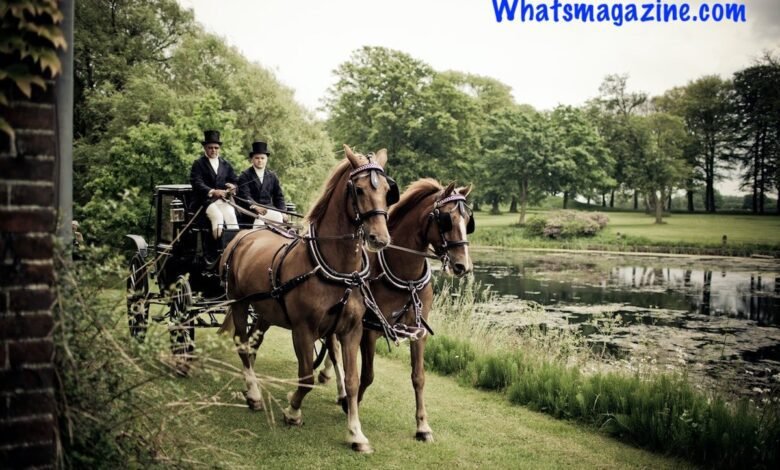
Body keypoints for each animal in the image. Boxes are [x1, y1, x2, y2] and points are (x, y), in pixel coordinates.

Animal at [219, 145, 398, 453]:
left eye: (387, 190)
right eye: (359, 189)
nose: (380, 238)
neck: (337, 269)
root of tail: (244, 236)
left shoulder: (351, 331)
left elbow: (351, 380)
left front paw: (356, 432)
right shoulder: (303, 329)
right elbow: (305, 376)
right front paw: (293, 411)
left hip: (265, 312)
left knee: (252, 345)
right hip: (239, 303)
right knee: (242, 344)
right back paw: (253, 393)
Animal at [318, 178, 474, 442]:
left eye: (468, 221)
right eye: (447, 219)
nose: (463, 266)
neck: (406, 277)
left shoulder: (418, 332)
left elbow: (419, 377)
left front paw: (423, 426)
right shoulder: (369, 331)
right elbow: (367, 375)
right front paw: (351, 405)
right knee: (333, 348)